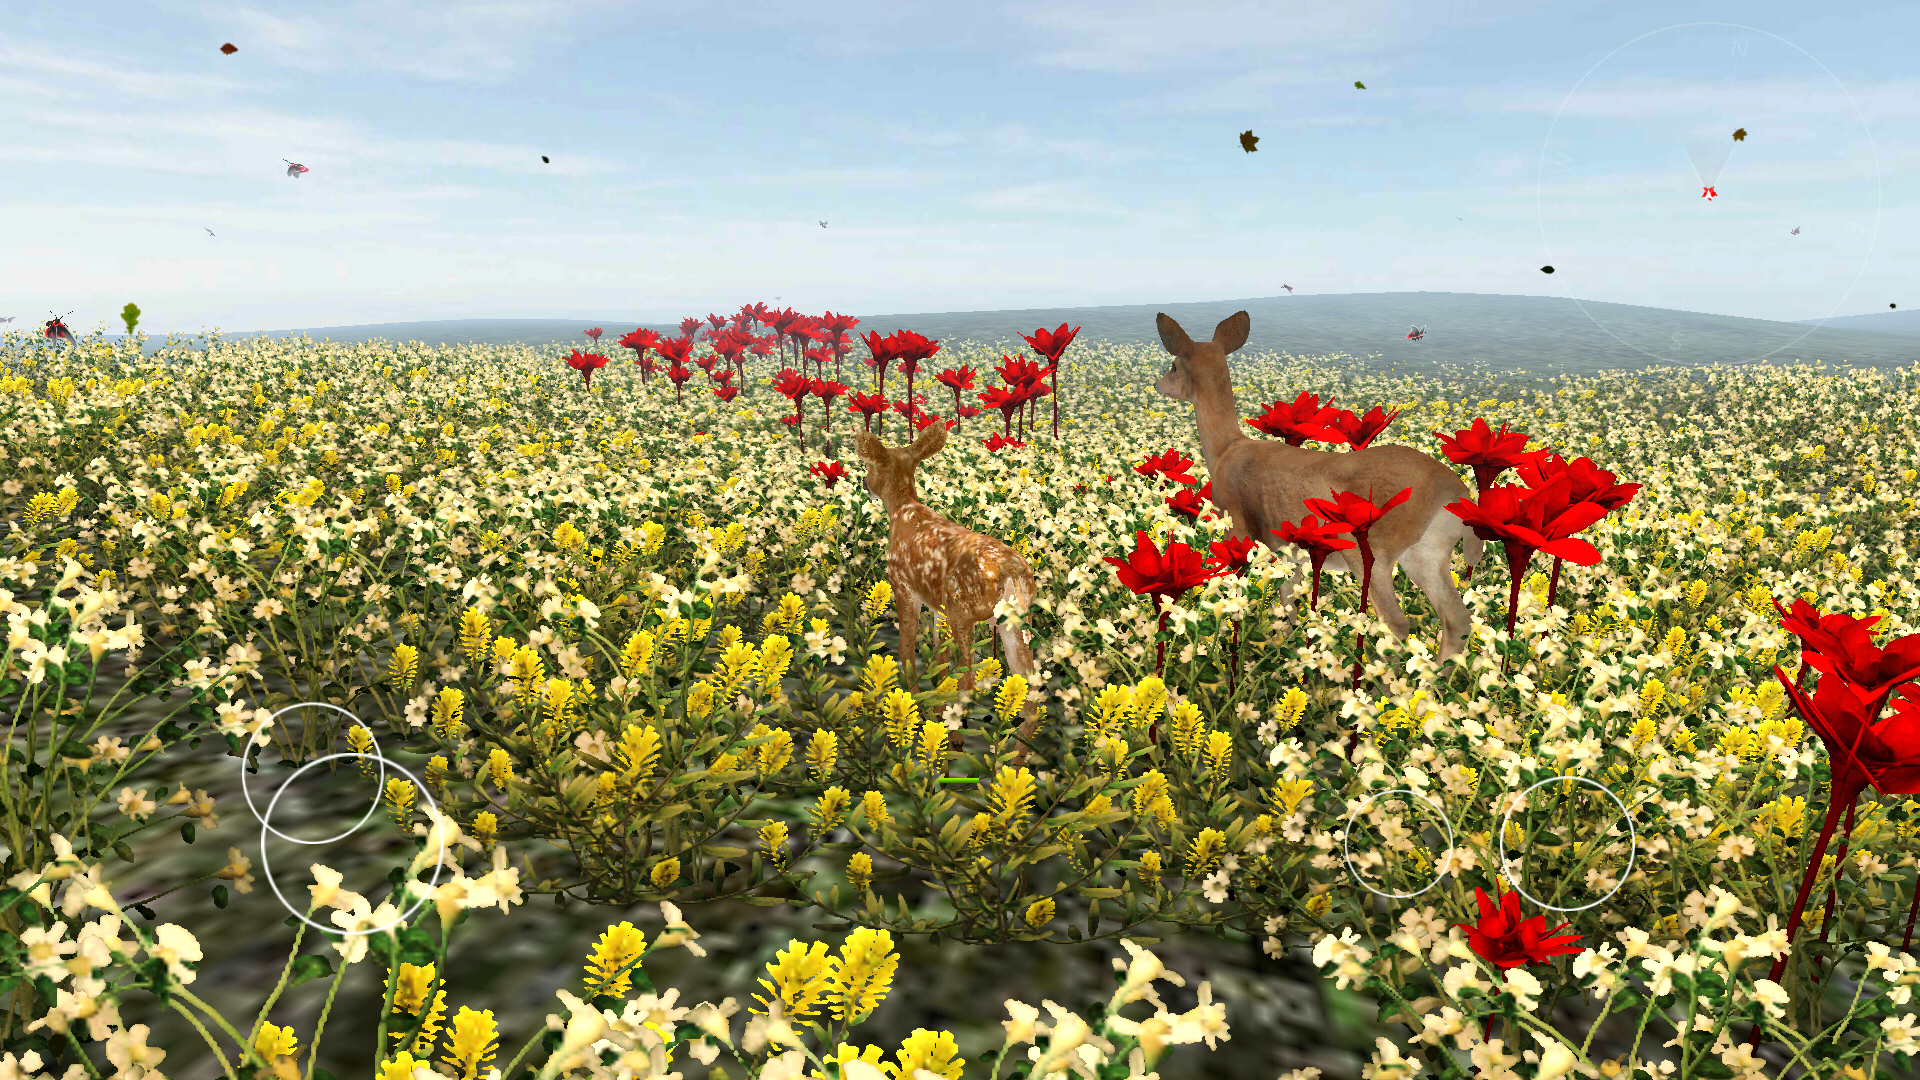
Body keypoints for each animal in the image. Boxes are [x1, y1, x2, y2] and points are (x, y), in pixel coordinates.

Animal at [855, 423, 1043, 764]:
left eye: (870, 466)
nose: (864, 483)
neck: (902, 509)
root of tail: (1010, 571)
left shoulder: (904, 586)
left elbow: (906, 648)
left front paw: (916, 704)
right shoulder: (938, 606)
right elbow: (939, 657)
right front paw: (934, 705)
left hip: (963, 610)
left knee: (969, 675)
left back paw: (955, 737)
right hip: (1014, 621)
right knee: (1029, 683)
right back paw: (1016, 760)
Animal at [1152, 310, 1484, 663]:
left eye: (1173, 365)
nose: (1157, 384)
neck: (1225, 449)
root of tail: (1454, 489)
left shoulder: (1238, 530)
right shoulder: (1287, 549)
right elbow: (1287, 597)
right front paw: (1288, 647)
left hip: (1371, 552)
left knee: (1396, 623)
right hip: (1428, 552)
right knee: (1457, 619)